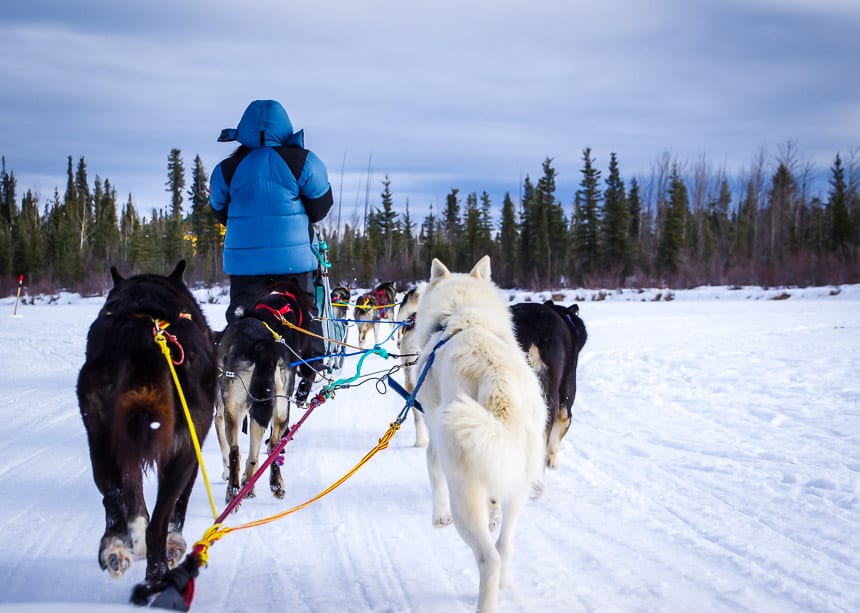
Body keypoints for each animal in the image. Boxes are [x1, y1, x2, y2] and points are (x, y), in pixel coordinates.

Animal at [77, 258, 217, 584]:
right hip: (183, 449)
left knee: (114, 496)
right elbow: (178, 507)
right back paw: (158, 575)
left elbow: (130, 491)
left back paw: (115, 547)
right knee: (158, 523)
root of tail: (142, 332)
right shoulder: (193, 450)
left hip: (101, 437)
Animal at [214, 282, 314, 502]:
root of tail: (262, 346)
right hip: (278, 406)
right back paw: (268, 485)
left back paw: (236, 489)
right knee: (270, 447)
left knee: (237, 451)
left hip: (235, 408)